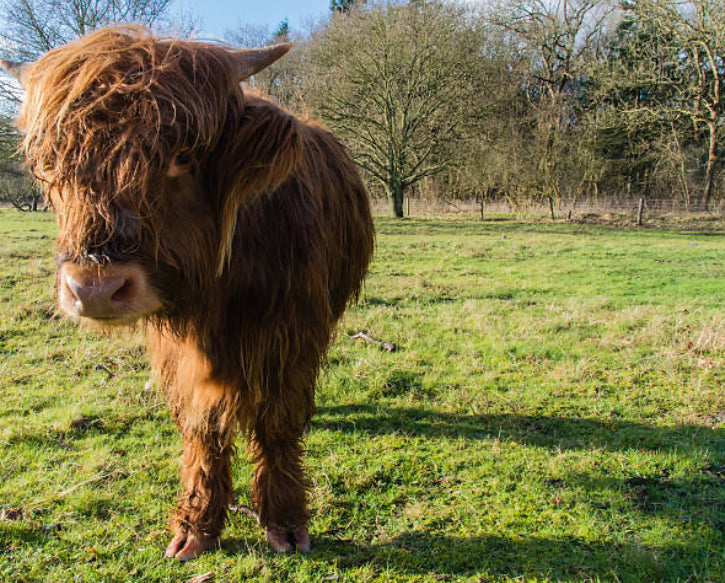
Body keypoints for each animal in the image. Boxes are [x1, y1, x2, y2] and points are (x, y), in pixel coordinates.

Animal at [1, 26, 374, 561]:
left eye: (182, 156)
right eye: (51, 162)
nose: (94, 289)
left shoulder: (292, 334)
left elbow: (278, 423)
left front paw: (284, 521)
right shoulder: (178, 350)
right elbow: (202, 428)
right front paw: (197, 525)